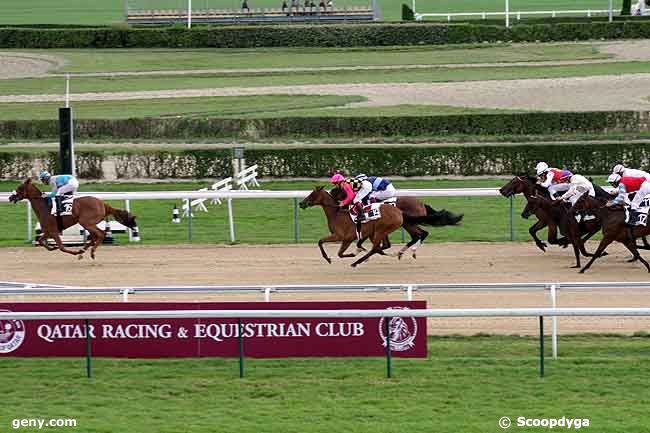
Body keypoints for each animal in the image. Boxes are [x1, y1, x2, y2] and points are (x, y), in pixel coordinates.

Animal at [7, 177, 137, 258]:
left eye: (19, 188)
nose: (10, 197)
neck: (45, 206)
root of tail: (103, 204)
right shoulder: (48, 231)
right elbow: (40, 240)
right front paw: (52, 247)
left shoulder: (54, 231)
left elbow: (62, 247)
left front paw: (72, 252)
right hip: (88, 223)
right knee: (95, 236)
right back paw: (82, 251)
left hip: (86, 222)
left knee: (100, 234)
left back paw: (91, 252)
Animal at [330, 185, 460, 258]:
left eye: (334, 192)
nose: (337, 205)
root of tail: (421, 203)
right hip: (408, 223)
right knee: (419, 235)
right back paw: (403, 252)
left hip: (408, 223)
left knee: (420, 234)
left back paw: (408, 251)